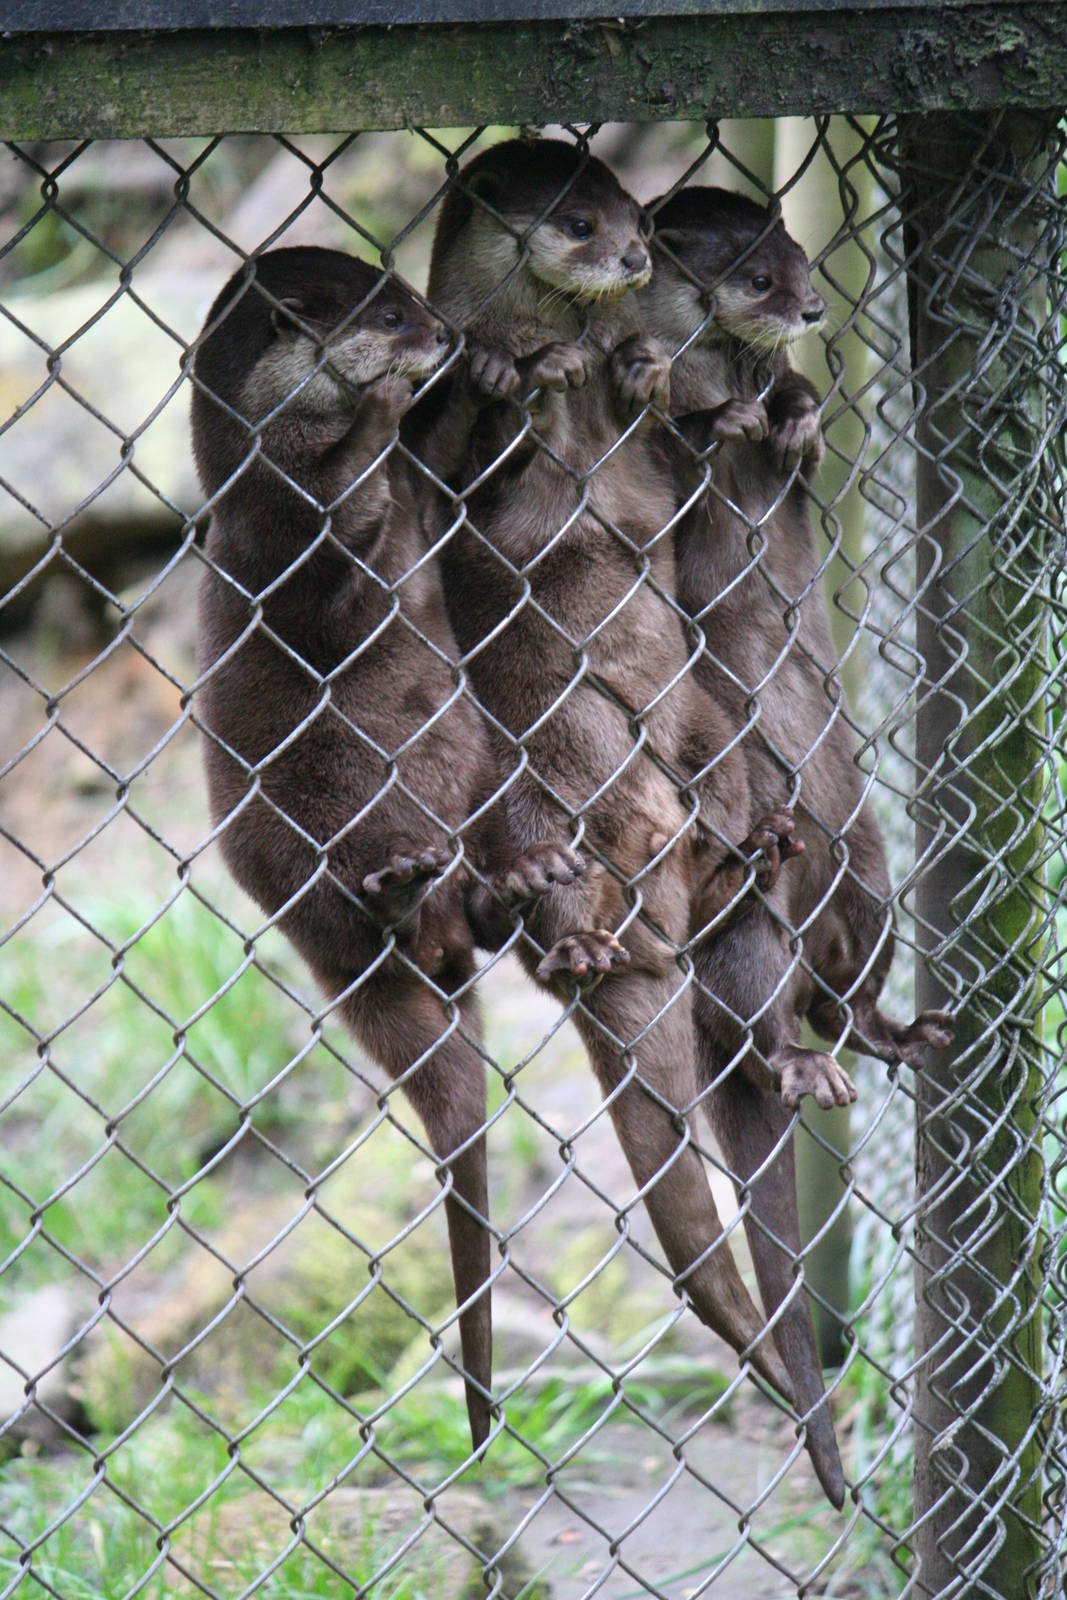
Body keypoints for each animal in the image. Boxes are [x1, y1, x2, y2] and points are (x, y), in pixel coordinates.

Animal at [191, 245, 582, 1451]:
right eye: (390, 315)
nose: (438, 334)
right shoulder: (278, 536)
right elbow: (338, 542)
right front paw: (373, 405)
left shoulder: (420, 498)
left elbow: (454, 479)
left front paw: (497, 373)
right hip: (294, 861)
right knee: (376, 924)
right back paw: (400, 893)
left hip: (484, 770)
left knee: (477, 920)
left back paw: (515, 879)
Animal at [426, 140, 804, 1408]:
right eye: (580, 220)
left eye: (634, 212)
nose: (634, 254)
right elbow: (476, 468)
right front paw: (507, 370)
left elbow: (670, 434)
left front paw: (643, 366)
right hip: (565, 756)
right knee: (588, 863)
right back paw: (584, 932)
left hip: (698, 721)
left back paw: (752, 848)